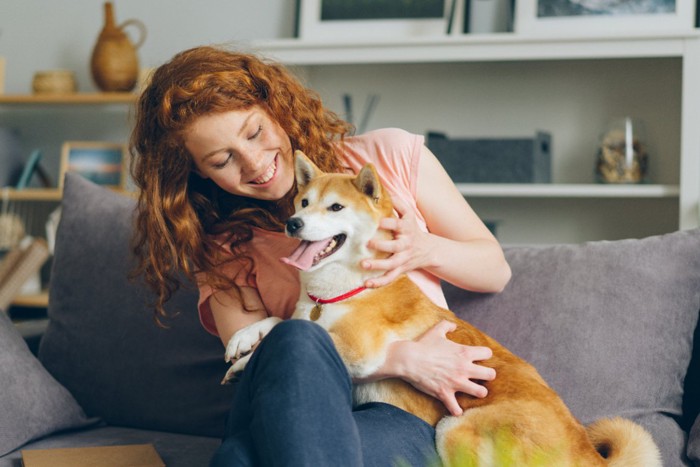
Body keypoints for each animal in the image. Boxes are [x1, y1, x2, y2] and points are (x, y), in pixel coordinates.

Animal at [226, 152, 660, 466]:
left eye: (335, 208)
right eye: (303, 202)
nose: (293, 223)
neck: (343, 289)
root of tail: (590, 457)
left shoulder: (359, 347)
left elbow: (299, 331)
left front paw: (249, 360)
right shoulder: (309, 311)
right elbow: (284, 319)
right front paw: (243, 340)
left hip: (455, 427)